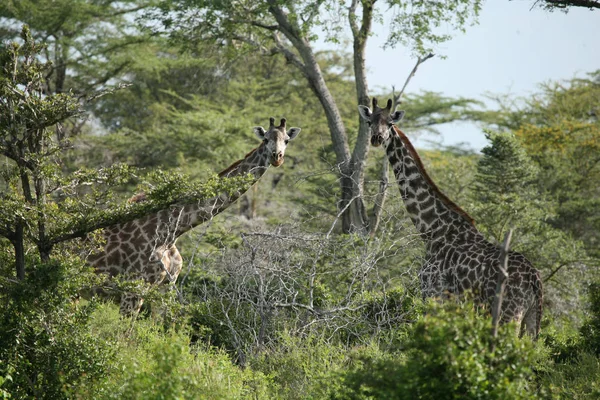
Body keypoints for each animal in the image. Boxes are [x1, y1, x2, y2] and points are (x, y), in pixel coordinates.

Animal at [88, 117, 300, 318]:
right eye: (265, 139)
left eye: (287, 140)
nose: (277, 157)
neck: (172, 231)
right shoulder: (134, 287)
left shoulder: (166, 287)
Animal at [360, 97, 544, 338]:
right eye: (370, 121)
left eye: (390, 123)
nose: (376, 138)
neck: (431, 230)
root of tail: (535, 279)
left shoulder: (433, 293)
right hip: (530, 315)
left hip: (510, 312)